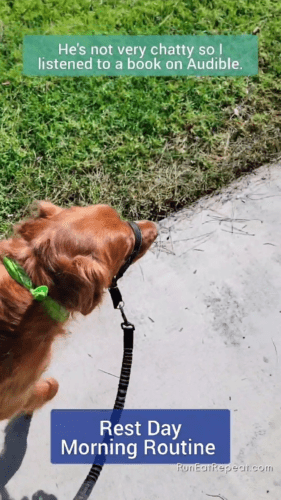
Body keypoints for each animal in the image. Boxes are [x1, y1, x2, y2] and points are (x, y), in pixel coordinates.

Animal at [0, 201, 158, 420]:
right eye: (128, 248)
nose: (155, 228)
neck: (31, 281)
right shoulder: (14, 397)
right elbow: (38, 393)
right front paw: (47, 389)